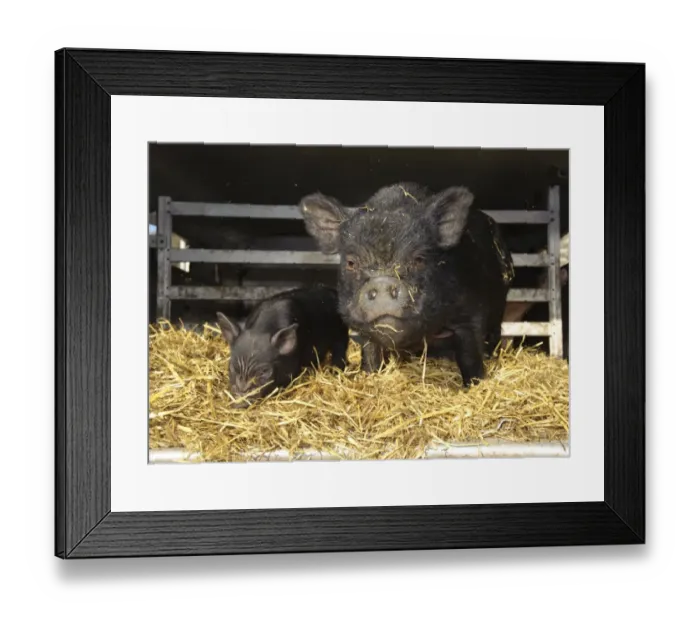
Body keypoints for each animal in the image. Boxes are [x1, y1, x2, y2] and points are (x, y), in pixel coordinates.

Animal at [216, 285, 349, 407]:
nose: (239, 403)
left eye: (264, 371)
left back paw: (335, 370)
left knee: (340, 348)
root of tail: (332, 290)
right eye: (232, 367)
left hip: (341, 331)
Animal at [299, 183, 513, 387]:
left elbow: (470, 355)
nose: (383, 282)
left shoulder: (471, 311)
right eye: (351, 262)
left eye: (419, 259)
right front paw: (369, 376)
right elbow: (370, 354)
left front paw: (474, 385)